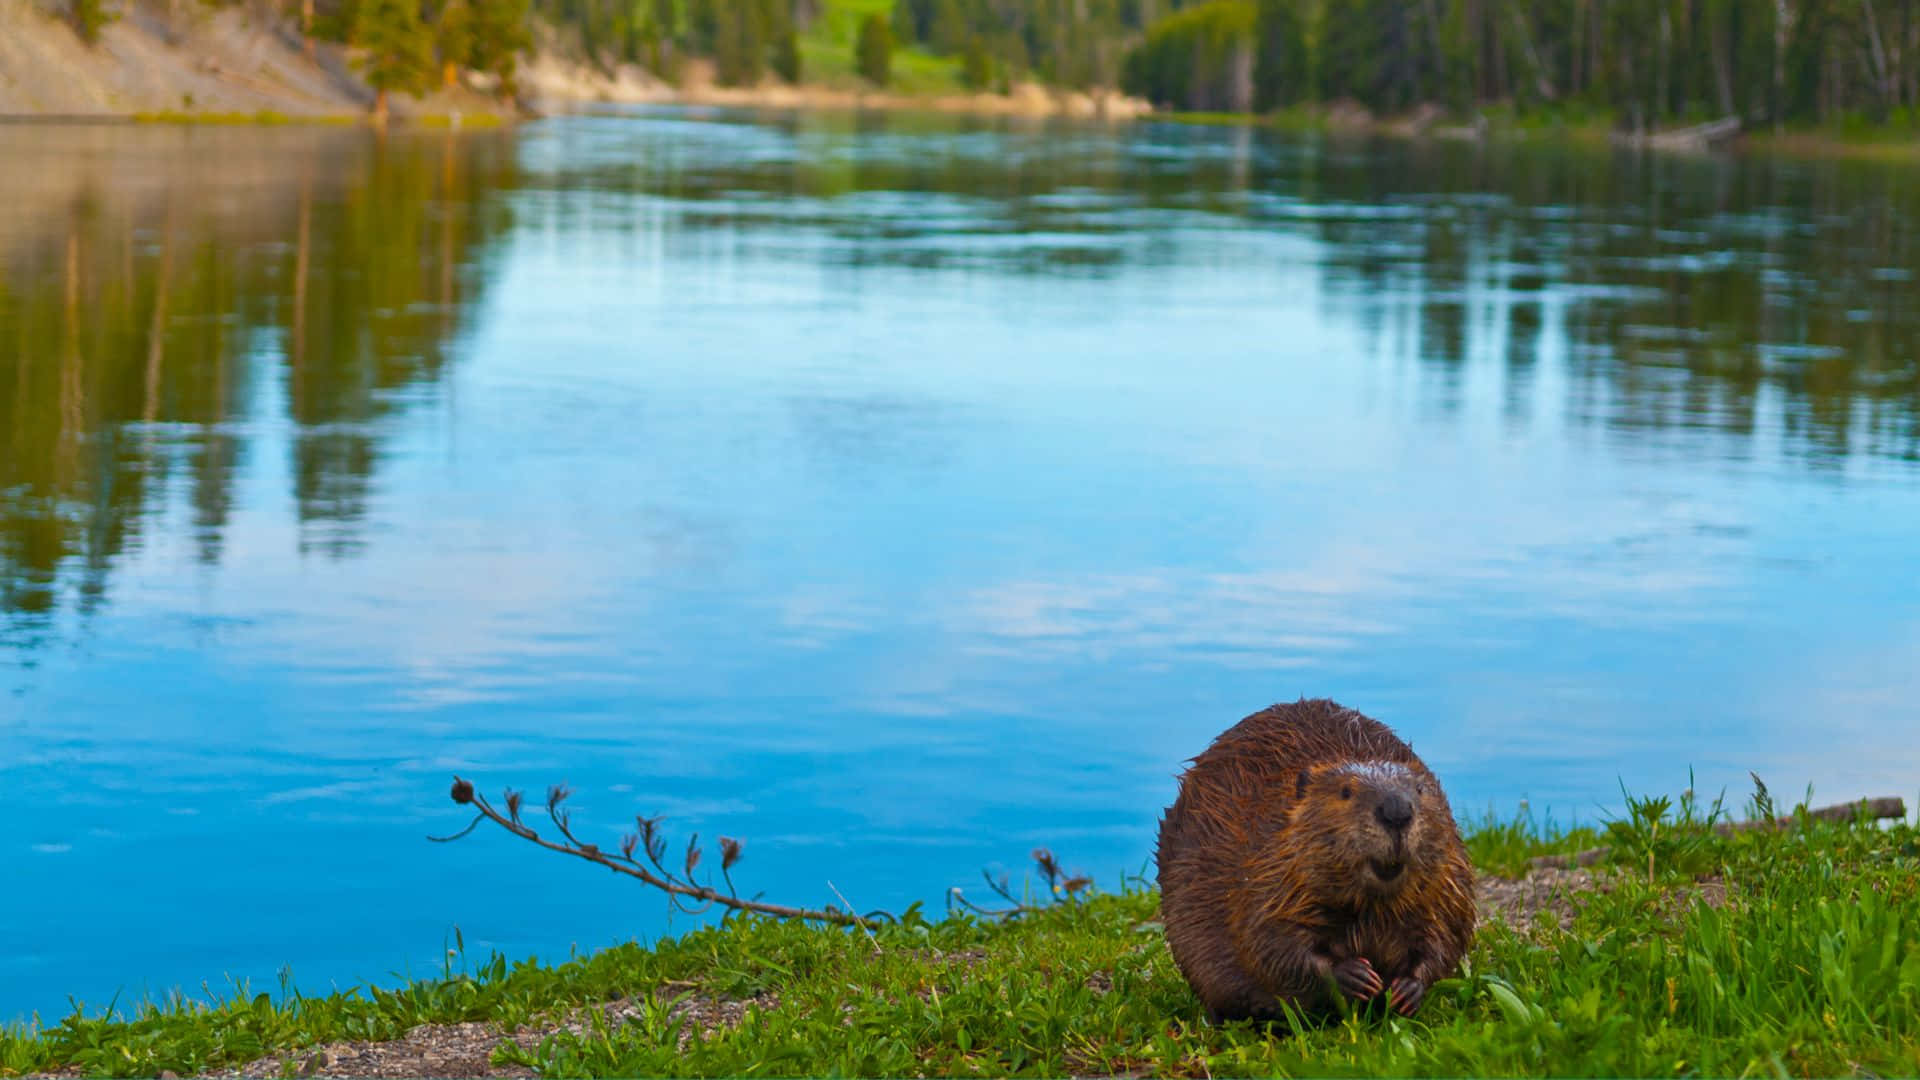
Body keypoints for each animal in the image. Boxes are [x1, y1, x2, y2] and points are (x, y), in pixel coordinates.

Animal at [1152, 699, 1466, 1014]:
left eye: (1420, 789)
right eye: (1345, 791)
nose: (1396, 811)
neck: (1371, 908)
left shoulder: (1448, 882)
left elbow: (1446, 939)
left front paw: (1407, 989)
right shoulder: (1265, 869)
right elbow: (1269, 941)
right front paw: (1356, 975)